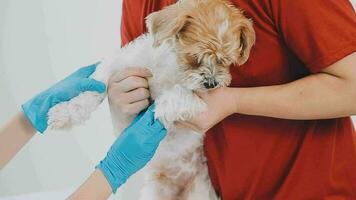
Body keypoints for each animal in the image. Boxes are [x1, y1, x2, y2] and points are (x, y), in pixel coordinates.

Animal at [48, 0, 254, 199]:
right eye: (194, 57)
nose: (211, 83)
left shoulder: (200, 101)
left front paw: (157, 111)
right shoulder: (120, 65)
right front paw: (64, 113)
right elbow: (96, 86)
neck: (173, 66)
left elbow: (176, 94)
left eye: (225, 61)